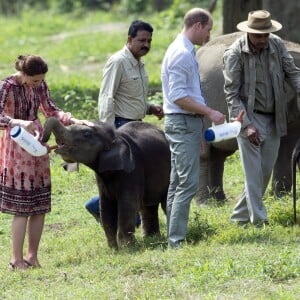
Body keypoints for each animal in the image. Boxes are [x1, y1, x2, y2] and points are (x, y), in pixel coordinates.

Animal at [41, 118, 171, 250]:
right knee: (148, 206)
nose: (44, 141)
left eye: (86, 134)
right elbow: (105, 206)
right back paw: (151, 238)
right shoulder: (101, 177)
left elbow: (127, 204)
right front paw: (113, 249)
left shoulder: (133, 170)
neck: (115, 137)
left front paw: (127, 249)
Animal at [196, 32, 300, 204]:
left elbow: (287, 146)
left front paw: (280, 198)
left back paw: (219, 202)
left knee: (219, 155)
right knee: (204, 154)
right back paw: (205, 204)